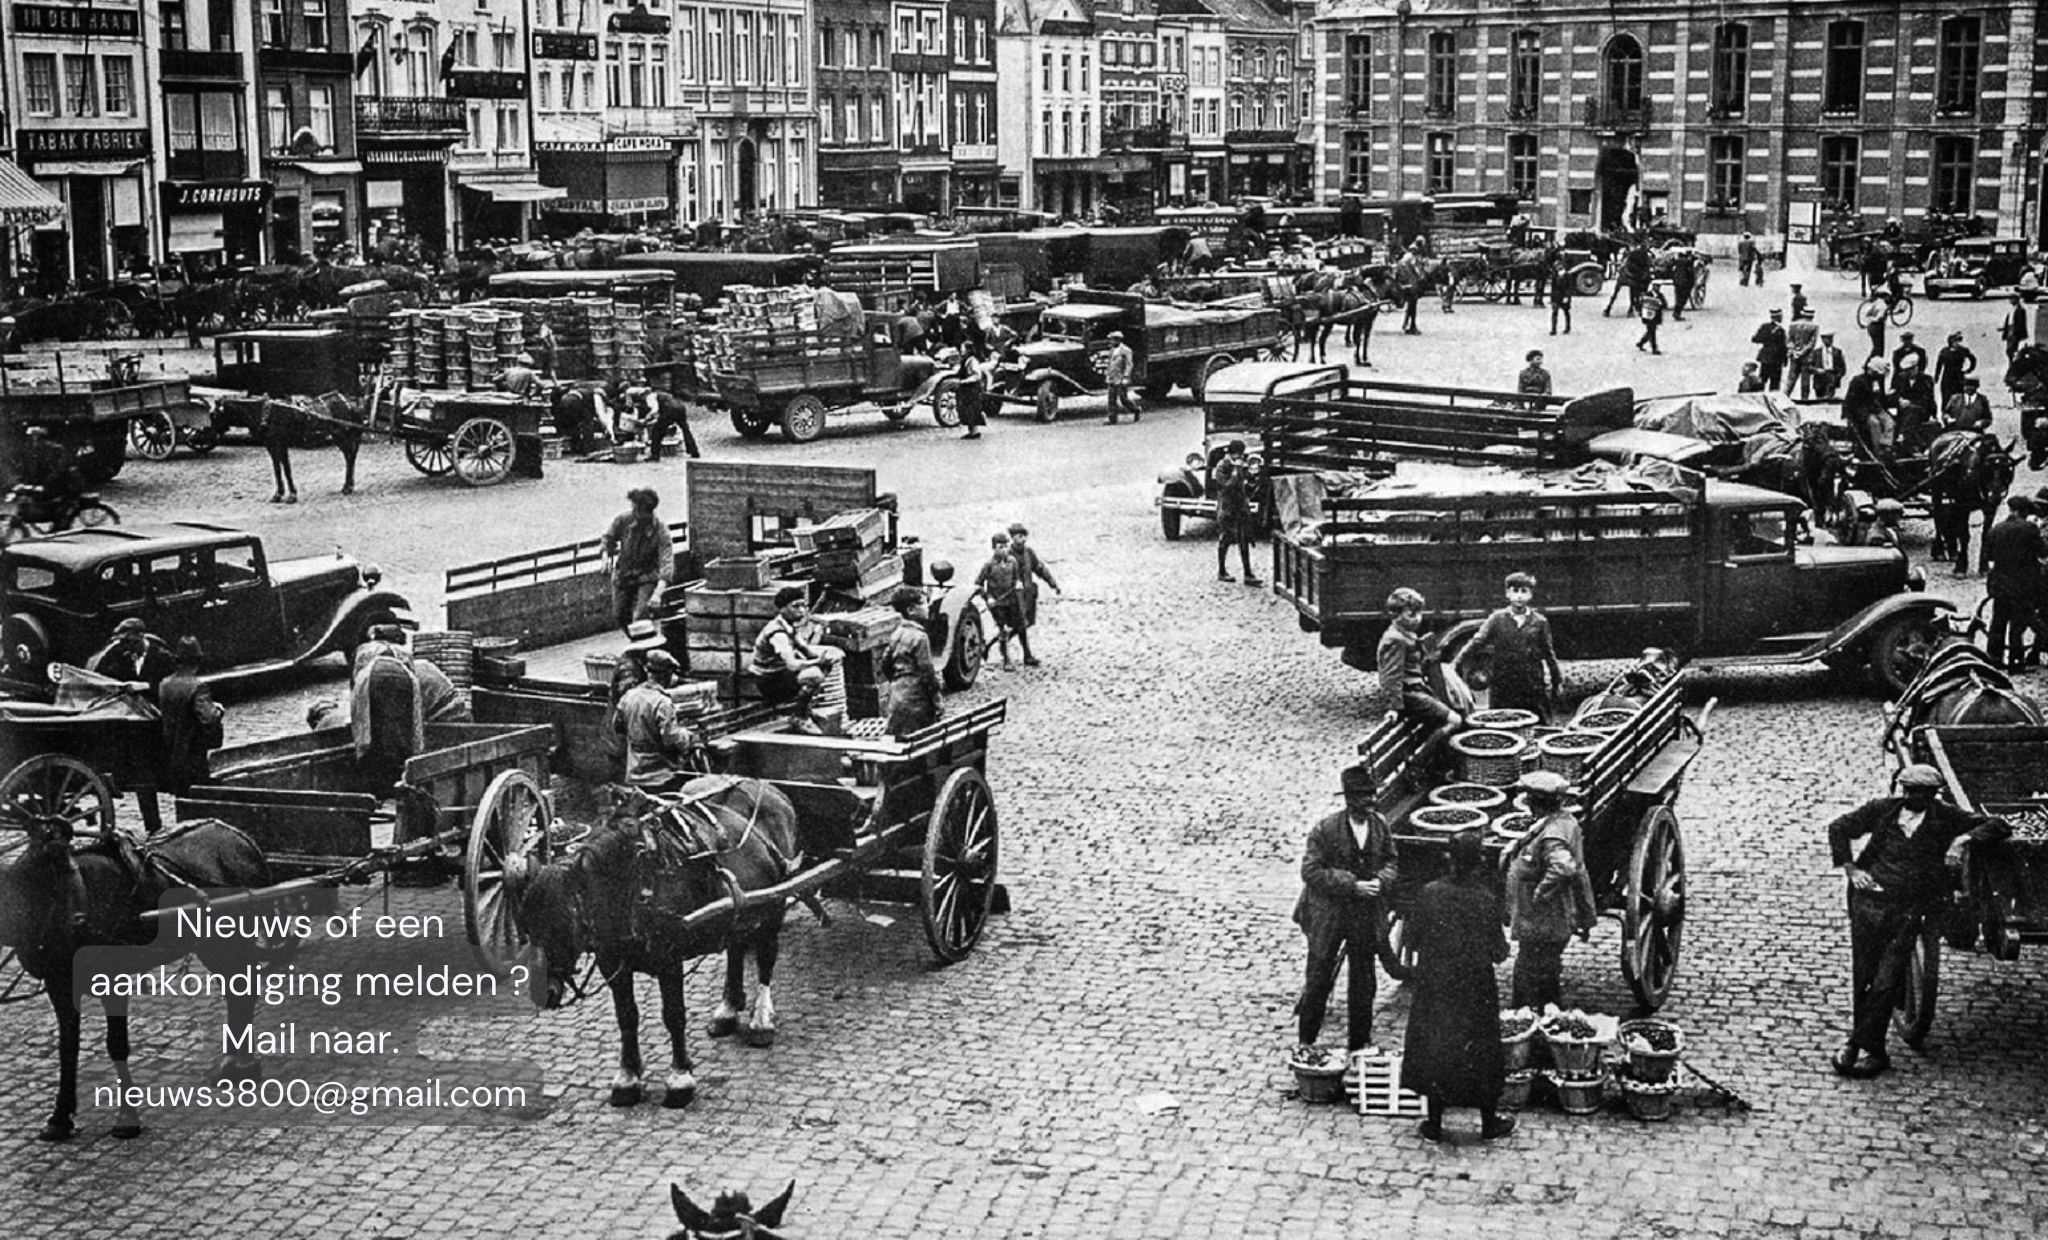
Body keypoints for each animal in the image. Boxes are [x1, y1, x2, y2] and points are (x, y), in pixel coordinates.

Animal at [0, 811, 278, 1139]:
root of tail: (240, 837)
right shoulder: (60, 984)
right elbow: (67, 1046)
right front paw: (59, 1117)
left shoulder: (111, 980)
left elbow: (117, 1044)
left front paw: (127, 1117)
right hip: (212, 944)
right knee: (237, 992)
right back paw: (234, 1064)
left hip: (234, 938)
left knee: (244, 990)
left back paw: (243, 1065)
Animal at [516, 778, 802, 1106]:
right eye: (527, 927)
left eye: (562, 922)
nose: (543, 993)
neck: (635, 882)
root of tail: (771, 789)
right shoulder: (612, 962)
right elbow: (626, 1017)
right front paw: (628, 1077)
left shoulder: (669, 960)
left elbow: (674, 1015)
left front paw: (680, 1078)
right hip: (738, 910)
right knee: (736, 950)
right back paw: (728, 1010)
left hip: (774, 906)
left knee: (767, 958)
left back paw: (761, 1020)